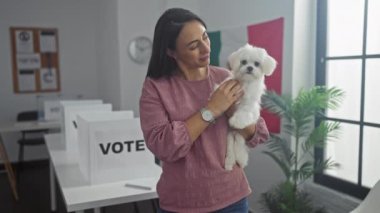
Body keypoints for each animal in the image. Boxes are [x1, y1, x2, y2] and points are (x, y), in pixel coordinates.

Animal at [224, 43, 278, 171]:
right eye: (243, 62)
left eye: (257, 64)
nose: (249, 68)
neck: (246, 83)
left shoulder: (250, 107)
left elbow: (243, 112)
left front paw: (237, 121)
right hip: (230, 135)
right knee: (231, 146)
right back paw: (229, 163)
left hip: (238, 134)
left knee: (238, 144)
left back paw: (240, 160)